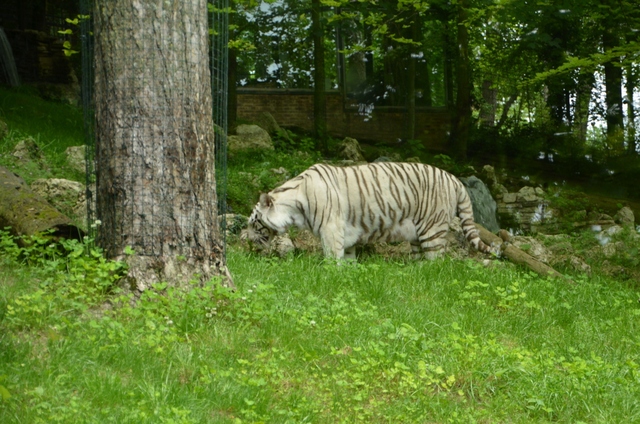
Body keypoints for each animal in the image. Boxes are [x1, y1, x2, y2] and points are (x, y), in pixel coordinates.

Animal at [246, 162, 496, 260]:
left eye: (253, 222)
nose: (244, 239)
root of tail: (455, 179)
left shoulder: (331, 230)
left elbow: (331, 258)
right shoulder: (346, 235)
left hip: (432, 230)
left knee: (437, 262)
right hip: (417, 235)